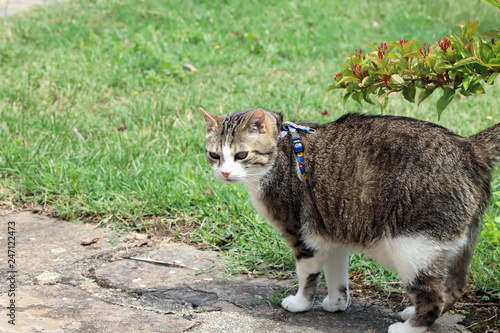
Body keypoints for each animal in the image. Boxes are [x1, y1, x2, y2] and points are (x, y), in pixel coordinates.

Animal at [199, 107, 500, 332]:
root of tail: (468, 146)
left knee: (434, 297)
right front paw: (336, 303)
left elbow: (307, 275)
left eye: (241, 155)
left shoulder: (301, 235)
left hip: (413, 246)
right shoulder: (332, 230)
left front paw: (300, 303)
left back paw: (409, 327)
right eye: (214, 155)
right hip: (457, 245)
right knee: (453, 289)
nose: (224, 173)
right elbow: (336, 274)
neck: (281, 148)